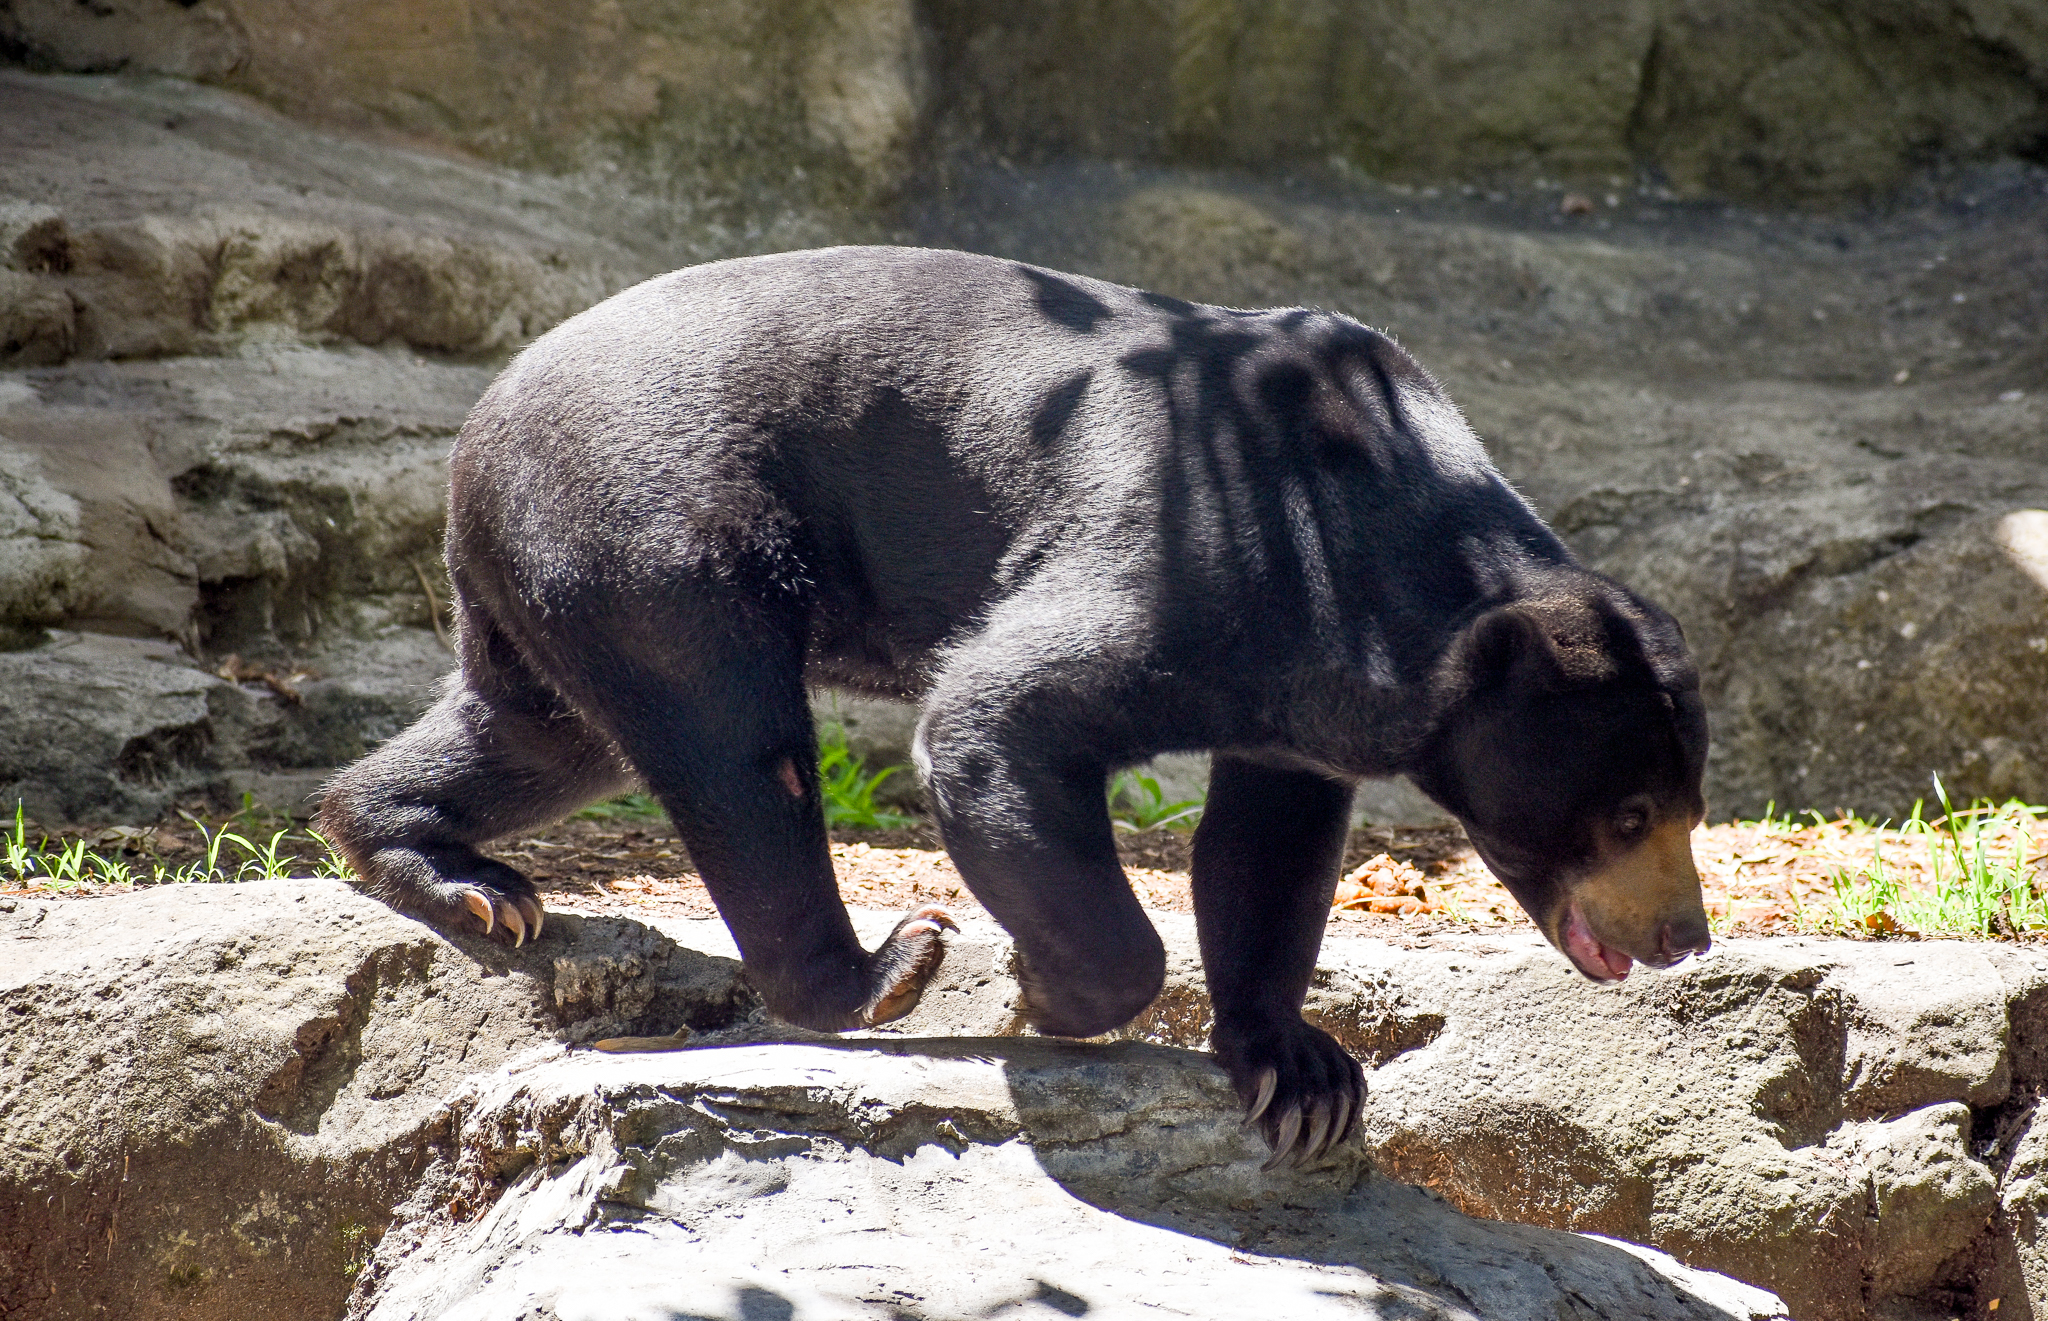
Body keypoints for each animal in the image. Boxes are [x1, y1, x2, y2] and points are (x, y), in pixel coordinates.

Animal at [318, 245, 1712, 1168]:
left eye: (1686, 807)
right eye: (1623, 811)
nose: (1682, 937)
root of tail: (479, 429)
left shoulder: (1304, 685)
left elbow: (1267, 845)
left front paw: (1301, 1074)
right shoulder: (1199, 550)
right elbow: (996, 720)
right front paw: (1044, 991)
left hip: (560, 583)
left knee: (543, 732)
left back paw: (451, 871)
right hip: (656, 527)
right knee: (732, 745)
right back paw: (881, 968)